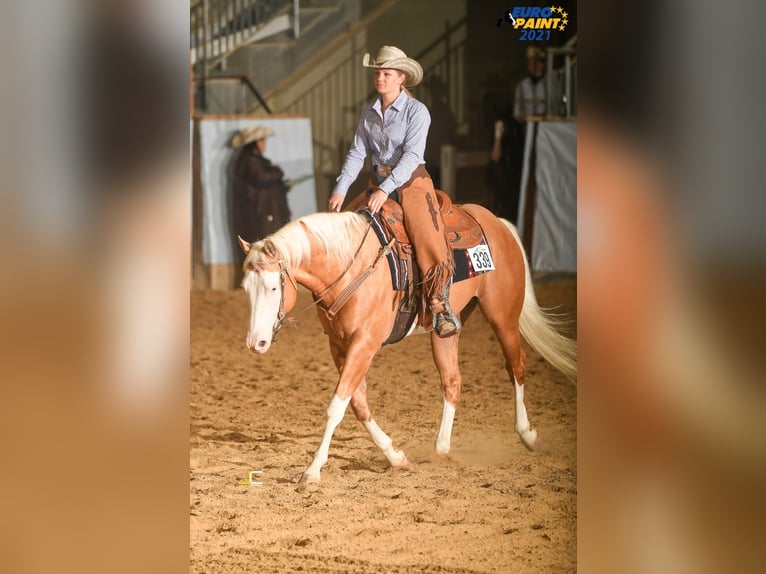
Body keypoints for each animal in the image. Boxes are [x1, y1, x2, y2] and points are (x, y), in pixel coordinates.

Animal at [237, 199, 576, 484]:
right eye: (246, 288)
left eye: (272, 287)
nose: (256, 343)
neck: (349, 266)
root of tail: (496, 222)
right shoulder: (339, 346)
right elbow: (357, 404)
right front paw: (395, 456)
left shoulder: (365, 343)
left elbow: (336, 407)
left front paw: (312, 469)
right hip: (447, 329)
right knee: (452, 381)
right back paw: (441, 449)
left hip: (502, 316)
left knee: (516, 366)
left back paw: (528, 435)